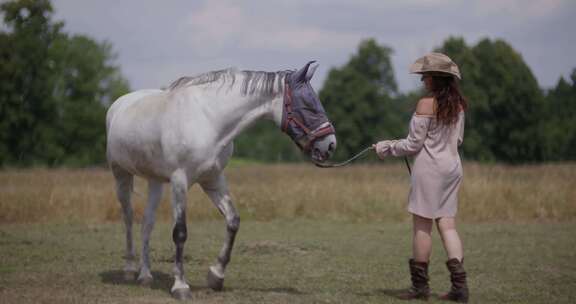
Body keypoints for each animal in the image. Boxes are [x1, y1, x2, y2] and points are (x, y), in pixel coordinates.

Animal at [106, 61, 336, 300]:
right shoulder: (180, 181)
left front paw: (216, 276)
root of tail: (119, 104)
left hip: (155, 181)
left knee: (147, 223)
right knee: (128, 218)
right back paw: (129, 270)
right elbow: (180, 232)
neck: (208, 120)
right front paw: (181, 286)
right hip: (121, 175)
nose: (330, 145)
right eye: (308, 105)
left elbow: (233, 221)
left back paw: (145, 275)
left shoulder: (213, 179)